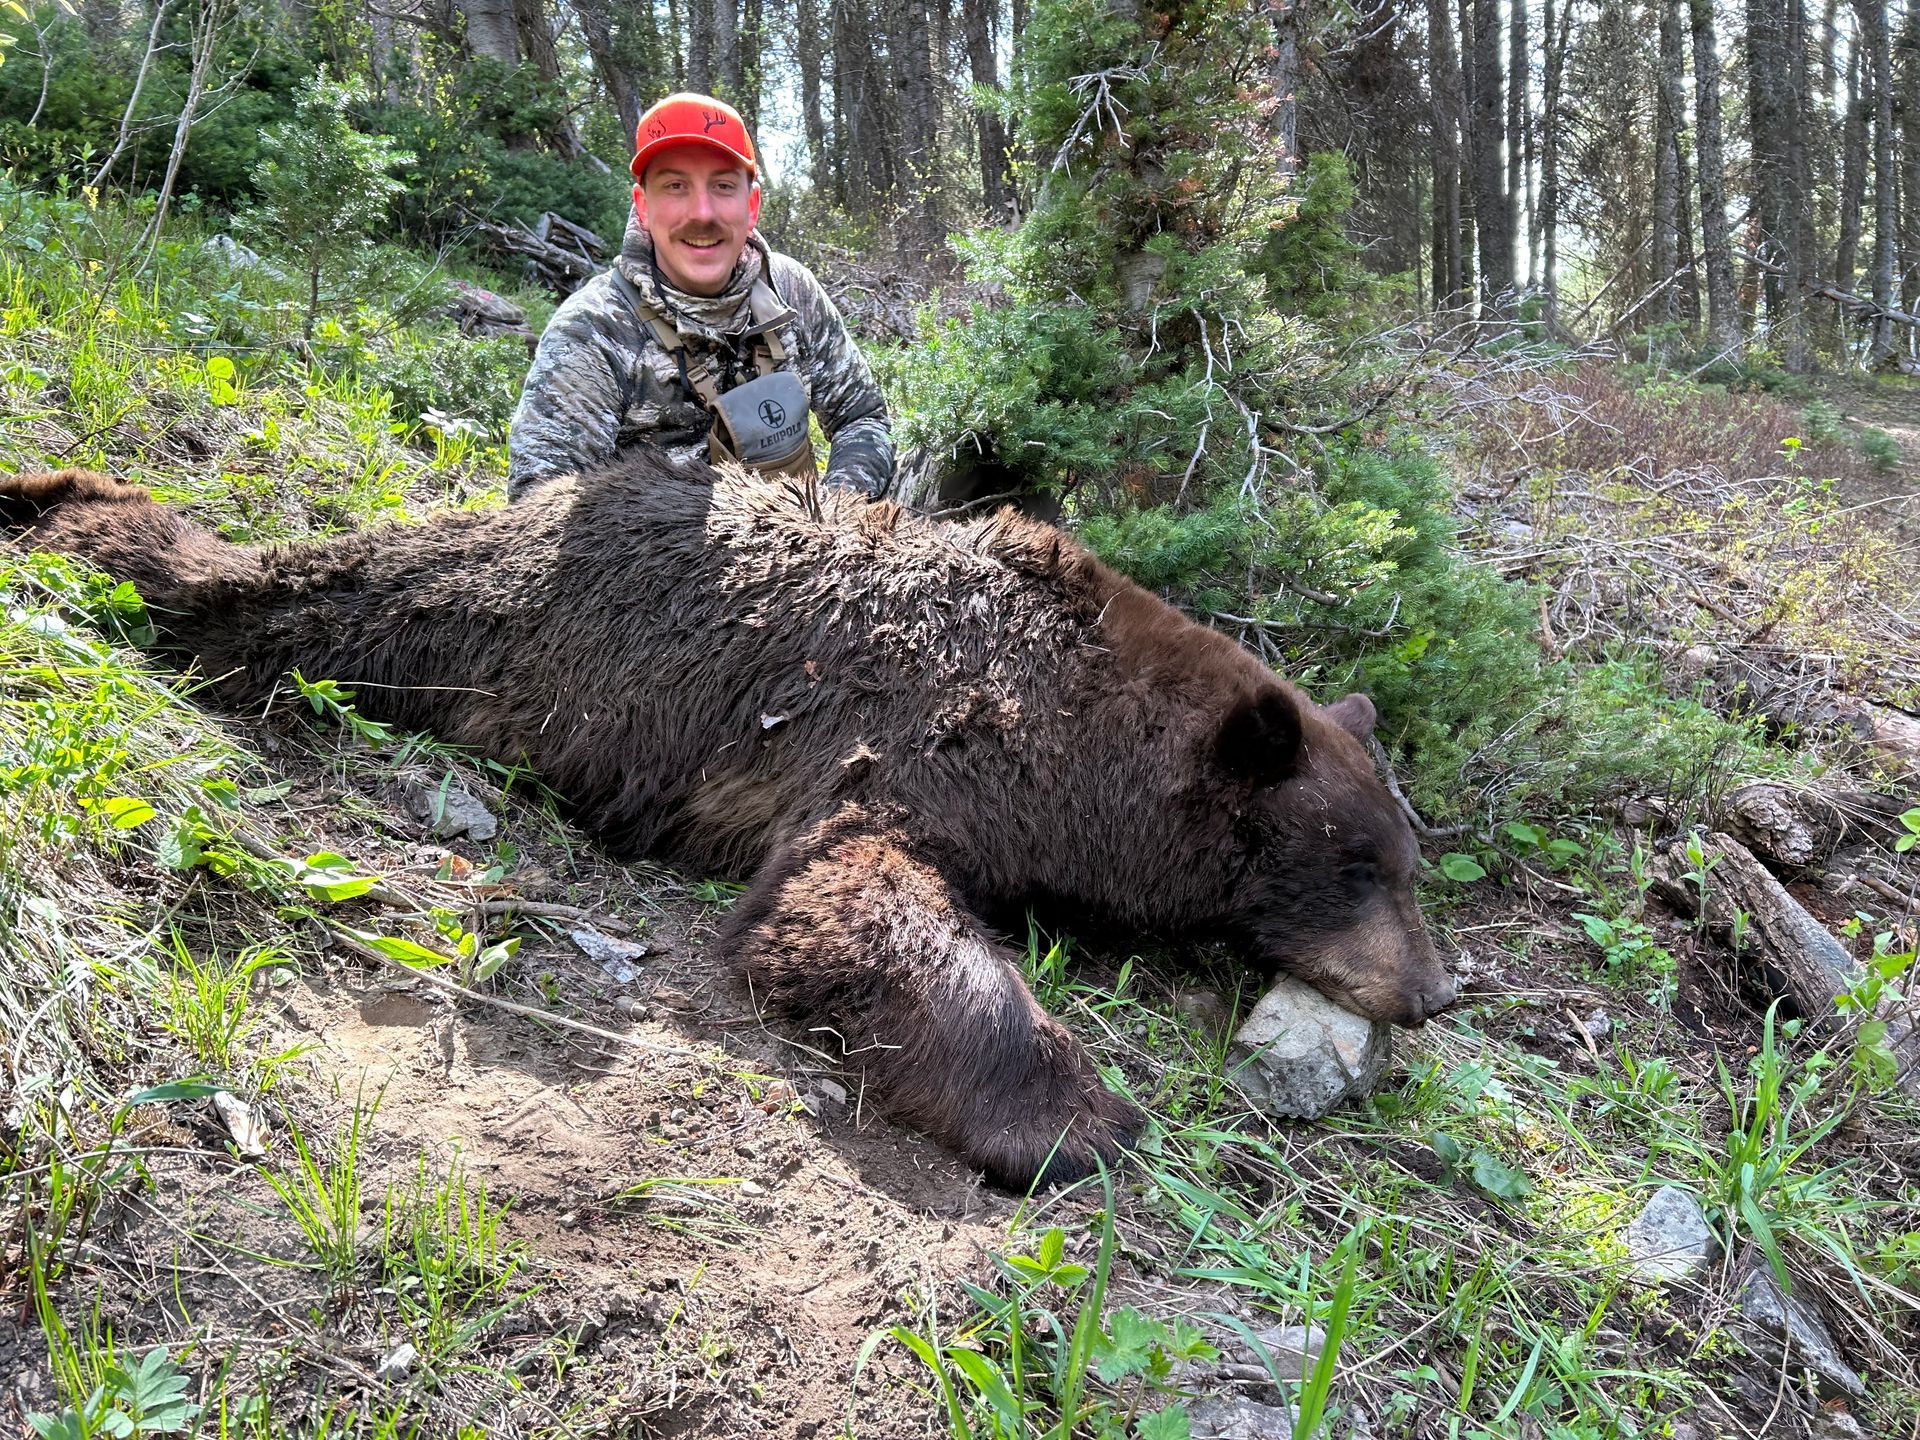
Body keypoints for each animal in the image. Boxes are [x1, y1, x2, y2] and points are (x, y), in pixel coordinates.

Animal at [0, 459, 1457, 1188]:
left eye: (1405, 861)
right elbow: (844, 897)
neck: (1078, 729)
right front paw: (1073, 1118)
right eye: (1357, 864)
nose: (1440, 991)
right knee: (281, 595)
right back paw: (71, 517)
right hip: (475, 624)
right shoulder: (908, 740)